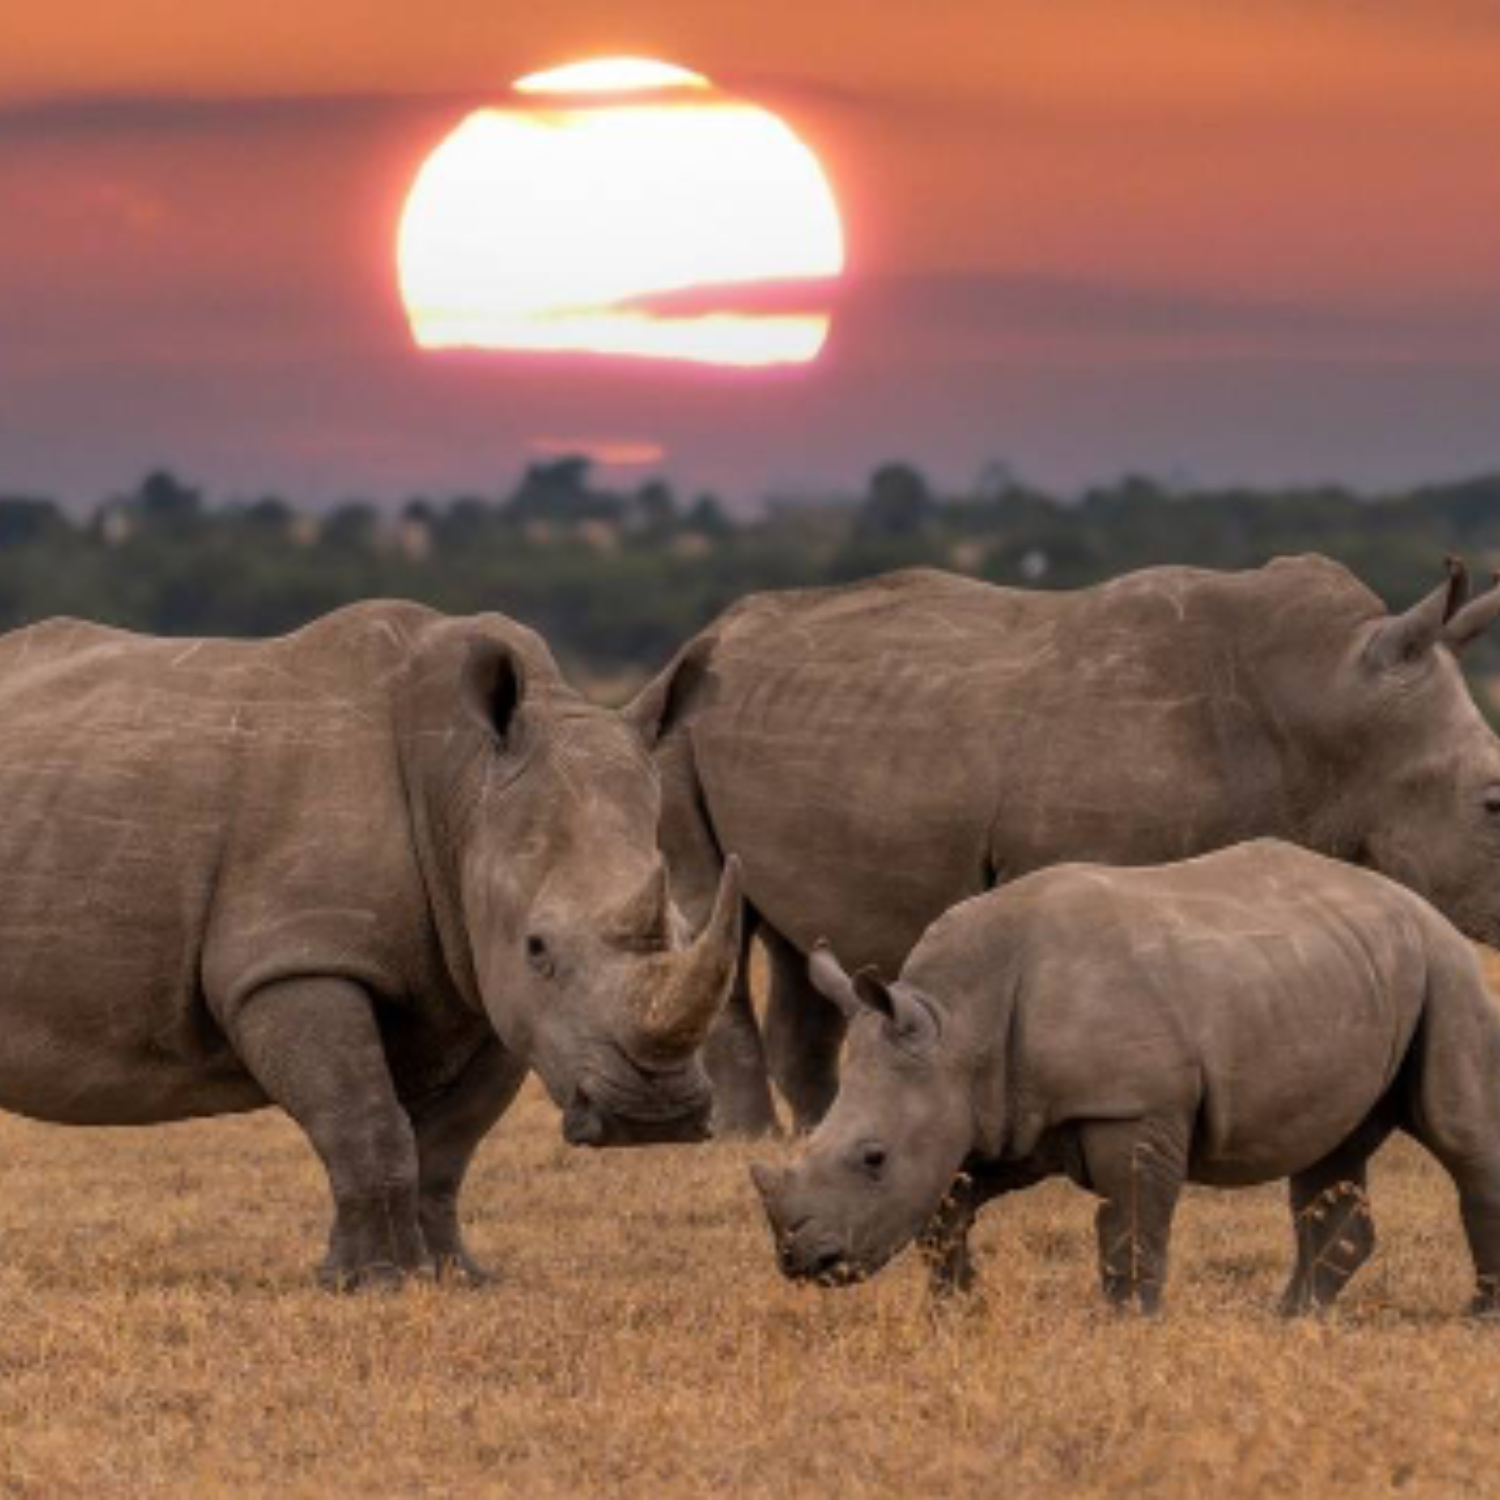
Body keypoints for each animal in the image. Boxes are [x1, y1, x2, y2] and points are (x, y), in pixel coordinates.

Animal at [0, 603, 741, 1287]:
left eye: (686, 929)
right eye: (539, 947)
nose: (656, 1115)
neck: (463, 788)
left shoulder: (485, 980)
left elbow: (446, 1145)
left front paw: (447, 1277)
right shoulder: (297, 960)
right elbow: (363, 1117)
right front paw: (378, 1281)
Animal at [628, 555, 1500, 1136]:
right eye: (1494, 804)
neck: (1330, 705)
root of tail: (702, 635)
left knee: (800, 934)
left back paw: (817, 1129)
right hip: (676, 729)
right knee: (717, 911)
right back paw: (749, 1140)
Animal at [751, 840, 1500, 1317]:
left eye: (873, 1158)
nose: (802, 1262)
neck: (956, 1025)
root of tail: (1413, 898)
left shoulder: (1131, 1107)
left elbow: (1131, 1221)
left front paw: (1125, 1324)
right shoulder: (997, 1114)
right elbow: (946, 1212)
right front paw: (954, 1312)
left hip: (1445, 965)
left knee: (1459, 1132)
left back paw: (1476, 1318)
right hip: (1347, 969)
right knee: (1329, 1147)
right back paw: (1291, 1319)